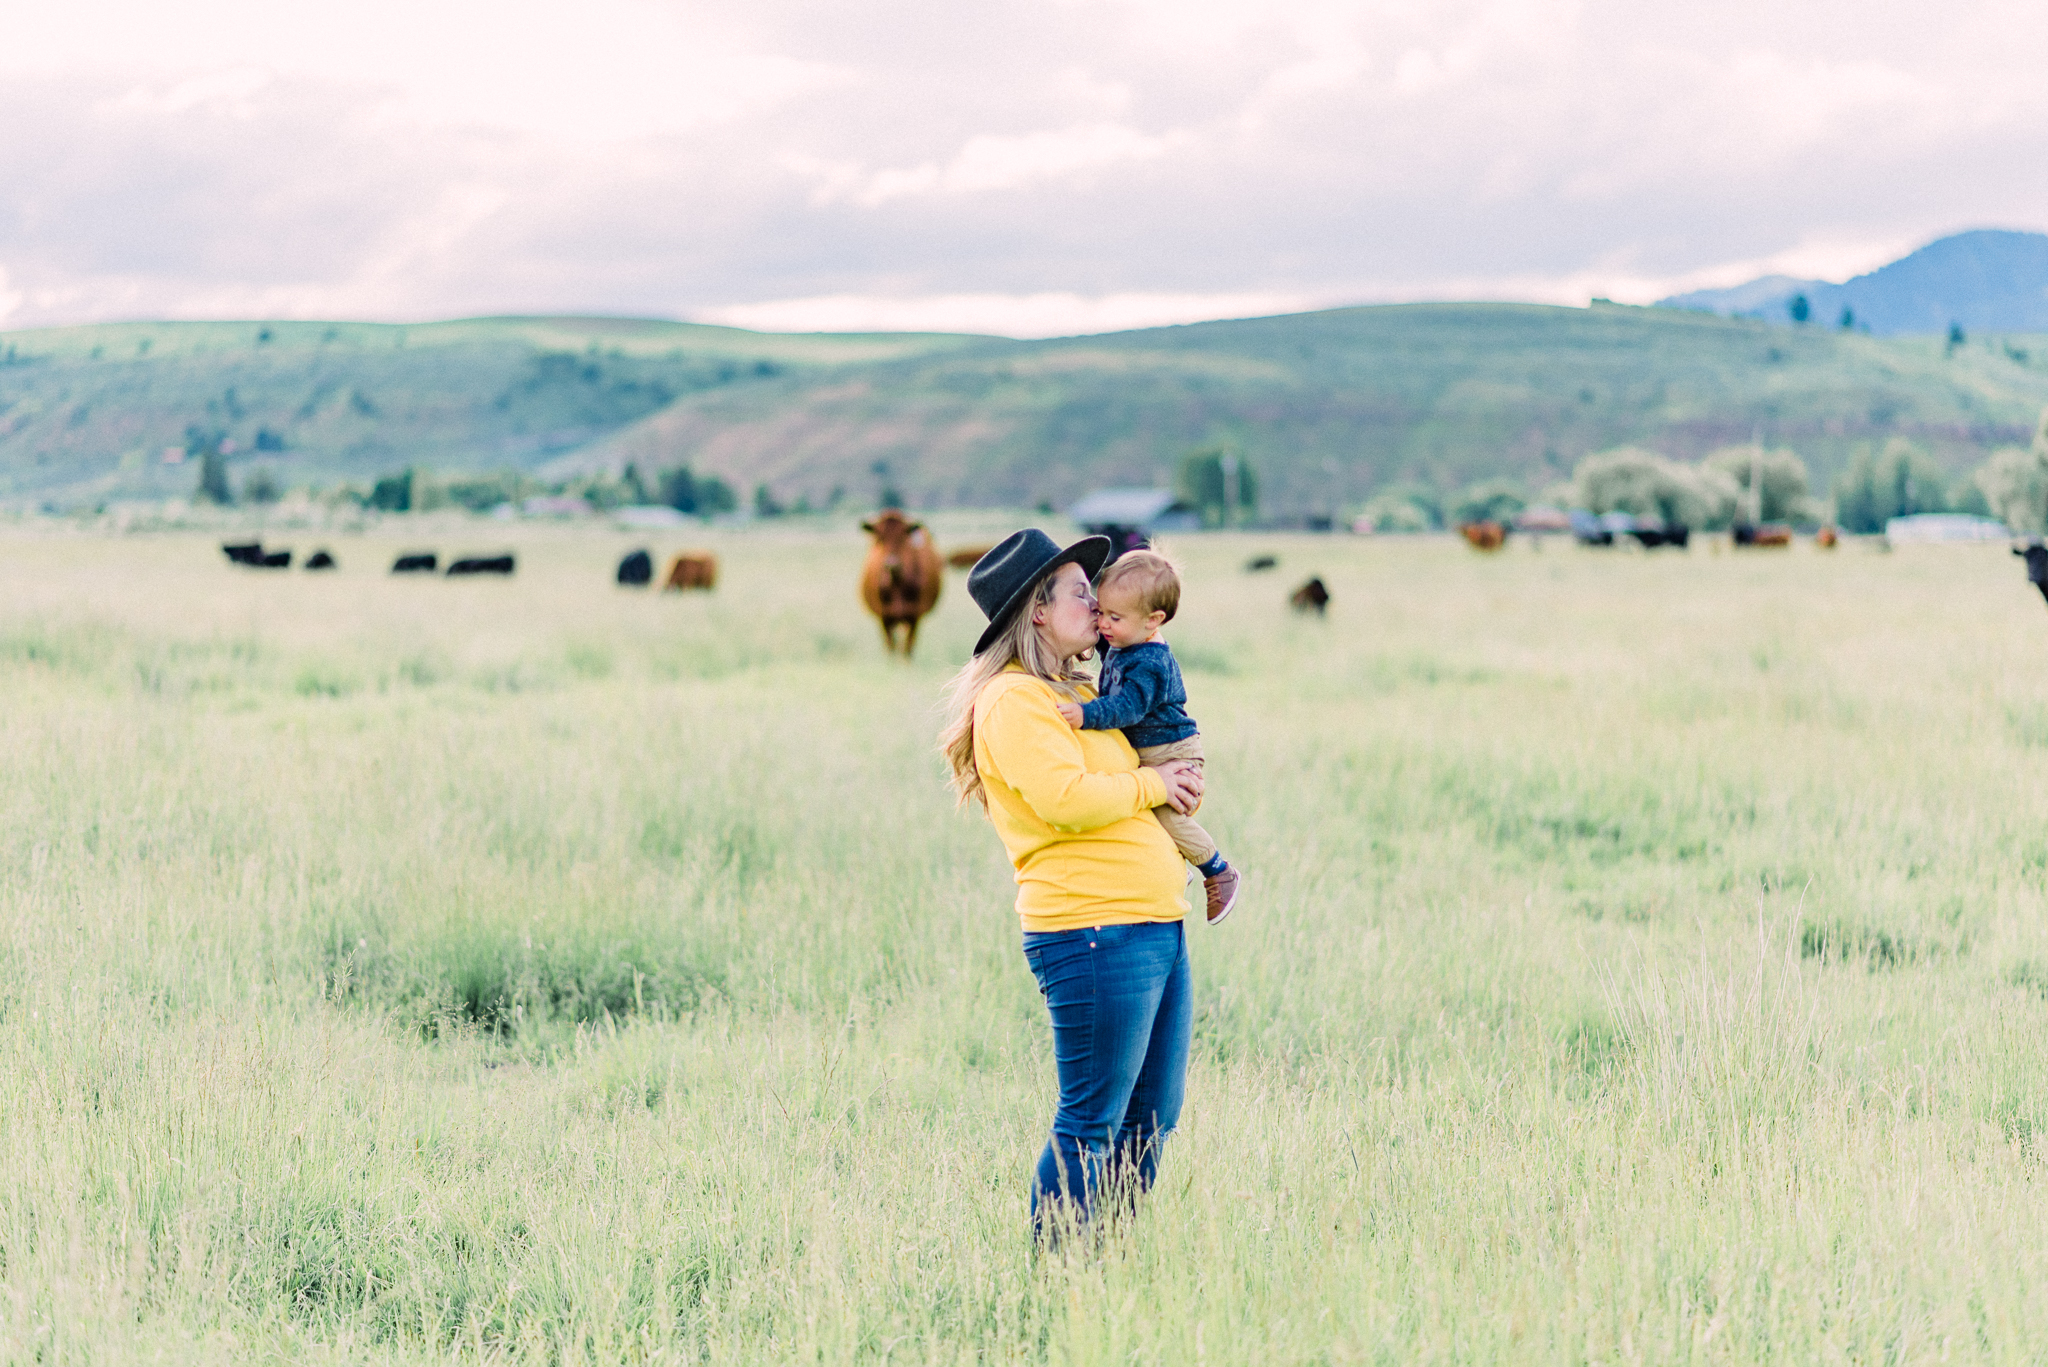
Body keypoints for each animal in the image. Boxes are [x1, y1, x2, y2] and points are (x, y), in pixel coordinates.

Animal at [856, 516, 942, 659]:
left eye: (902, 538)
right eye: (880, 538)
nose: (892, 563)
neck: (896, 583)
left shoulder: (914, 615)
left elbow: (907, 648)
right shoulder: (884, 616)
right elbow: (890, 646)